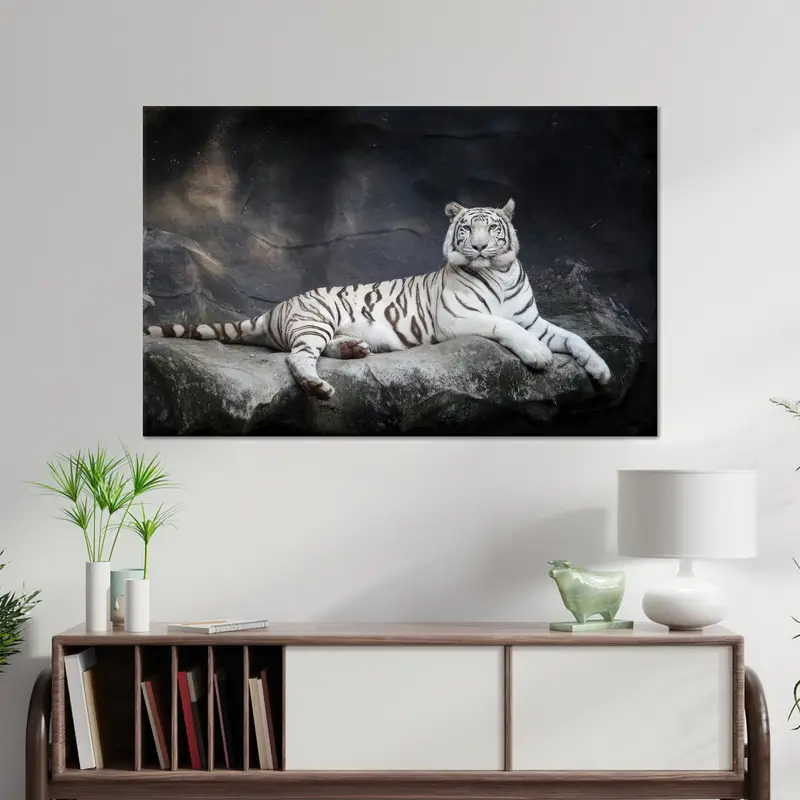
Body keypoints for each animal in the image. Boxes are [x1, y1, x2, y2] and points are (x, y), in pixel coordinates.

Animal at [144, 199, 611, 399]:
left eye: (492, 229)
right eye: (466, 229)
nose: (479, 247)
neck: (497, 271)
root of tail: (274, 309)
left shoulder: (533, 319)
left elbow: (573, 338)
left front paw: (602, 371)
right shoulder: (458, 320)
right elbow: (504, 325)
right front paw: (538, 357)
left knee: (314, 351)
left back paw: (355, 349)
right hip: (315, 319)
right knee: (296, 358)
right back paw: (318, 385)